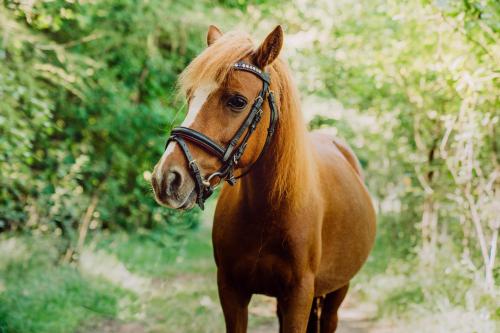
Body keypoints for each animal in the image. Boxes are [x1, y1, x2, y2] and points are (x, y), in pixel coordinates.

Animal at [151, 24, 376, 330]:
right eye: (190, 97)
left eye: (237, 101)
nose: (166, 178)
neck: (268, 211)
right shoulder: (232, 292)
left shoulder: (299, 298)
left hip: (338, 291)